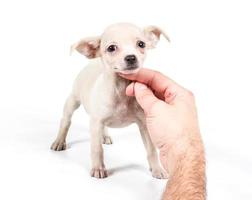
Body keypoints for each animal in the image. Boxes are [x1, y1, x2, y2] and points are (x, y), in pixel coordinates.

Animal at [50, 22, 170, 179]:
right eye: (111, 48)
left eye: (141, 44)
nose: (131, 57)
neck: (121, 90)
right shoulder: (95, 123)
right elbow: (97, 149)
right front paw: (98, 168)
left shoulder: (144, 125)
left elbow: (151, 149)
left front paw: (157, 169)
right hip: (73, 100)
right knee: (66, 121)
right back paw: (59, 141)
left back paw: (105, 136)